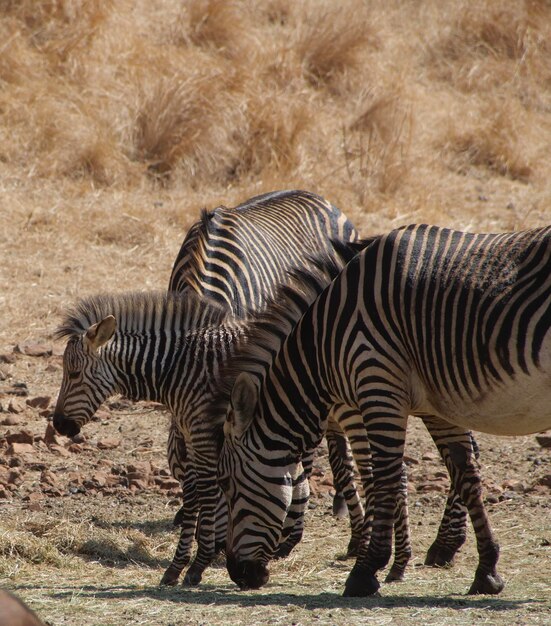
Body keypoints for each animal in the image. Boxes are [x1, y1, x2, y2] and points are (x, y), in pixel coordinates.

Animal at [215, 224, 551, 596]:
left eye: (226, 483)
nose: (238, 573)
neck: (326, 339)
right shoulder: (436, 408)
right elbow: (467, 475)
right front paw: (487, 569)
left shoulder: (378, 383)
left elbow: (385, 478)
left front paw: (367, 569)